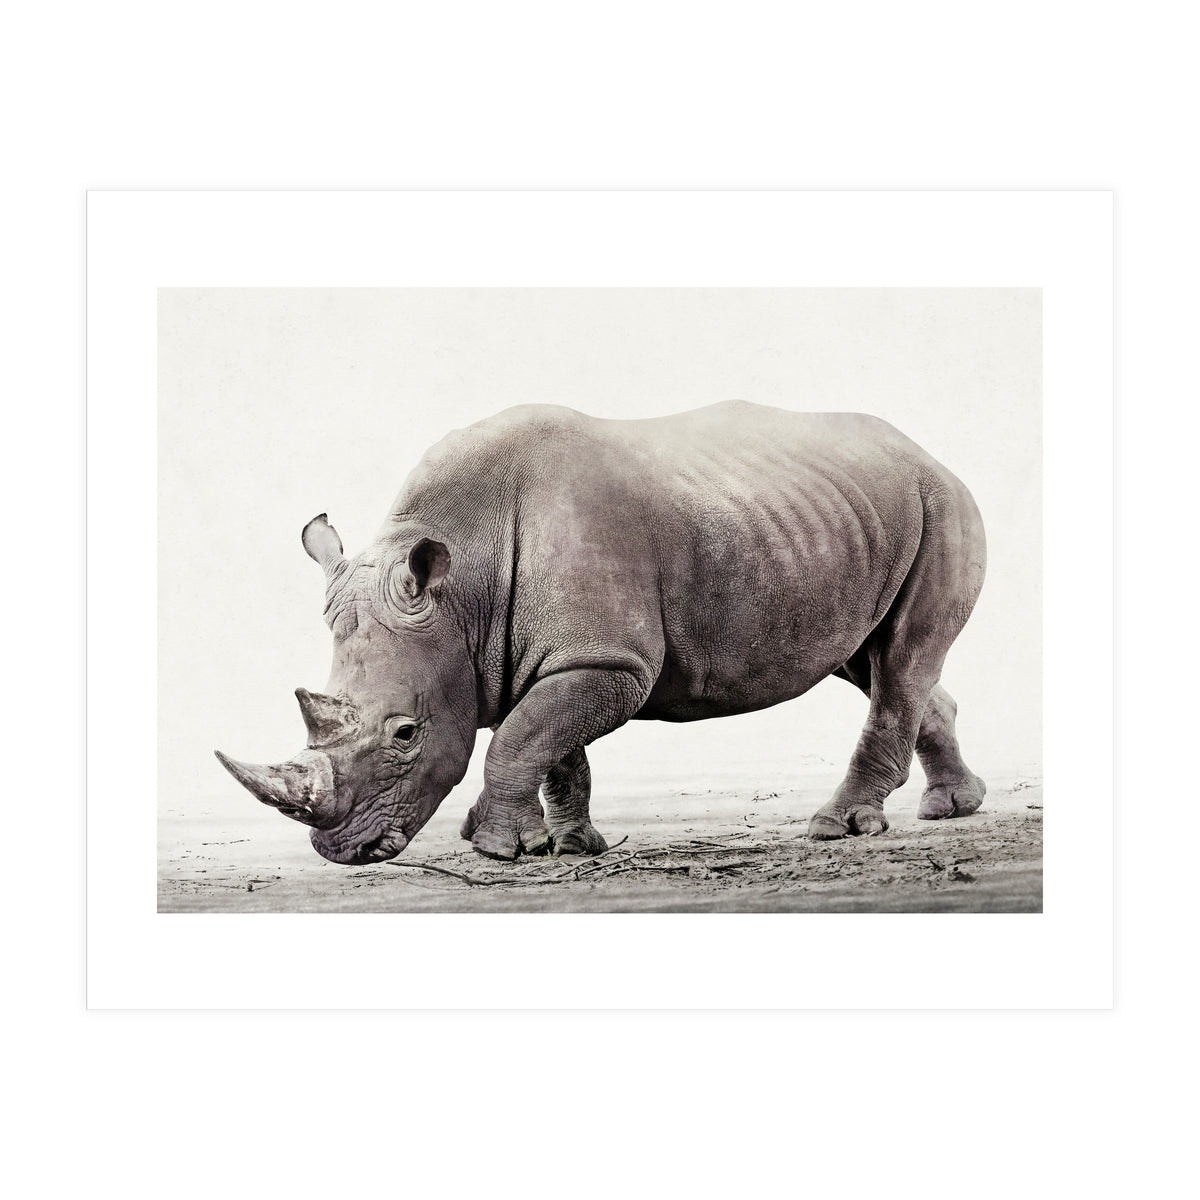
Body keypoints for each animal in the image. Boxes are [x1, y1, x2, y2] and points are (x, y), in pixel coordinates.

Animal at [216, 401, 987, 865]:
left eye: (405, 733)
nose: (340, 850)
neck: (463, 586)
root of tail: (928, 452)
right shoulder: (558, 656)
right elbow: (553, 745)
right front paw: (568, 844)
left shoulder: (609, 660)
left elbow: (523, 736)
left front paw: (494, 849)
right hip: (843, 519)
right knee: (873, 661)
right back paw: (952, 808)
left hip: (942, 504)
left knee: (900, 660)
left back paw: (839, 827)